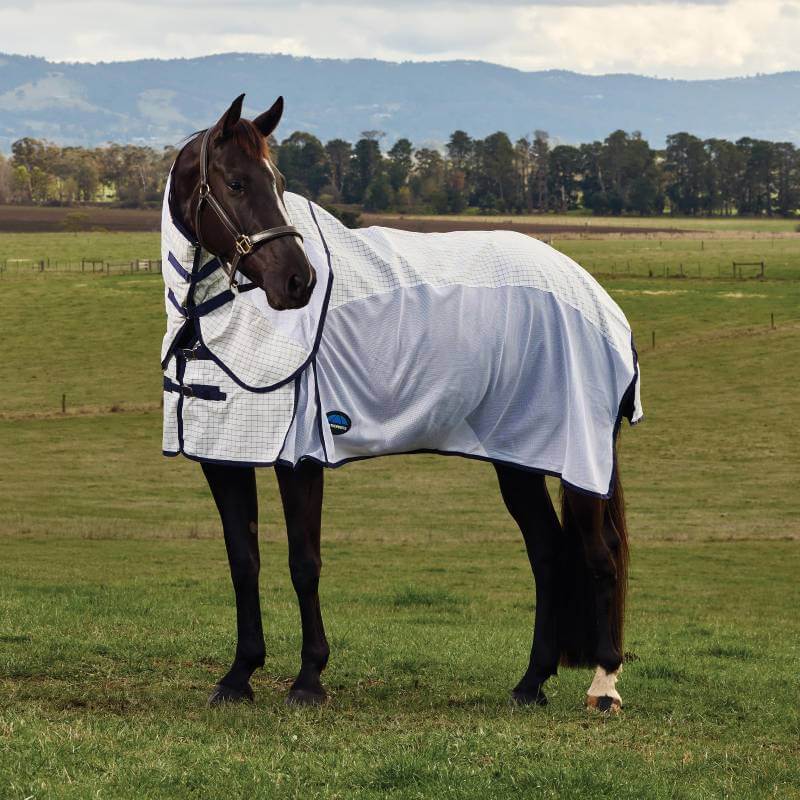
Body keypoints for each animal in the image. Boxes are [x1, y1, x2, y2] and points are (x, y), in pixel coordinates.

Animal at [161, 94, 641, 712]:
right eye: (237, 183)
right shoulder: (224, 456)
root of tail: (600, 301)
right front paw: (239, 675)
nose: (299, 281)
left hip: (580, 459)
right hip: (518, 459)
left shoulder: (300, 458)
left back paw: (603, 684)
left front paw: (308, 679)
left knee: (599, 554)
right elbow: (244, 562)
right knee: (550, 553)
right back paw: (530, 683)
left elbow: (303, 563)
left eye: (278, 182)